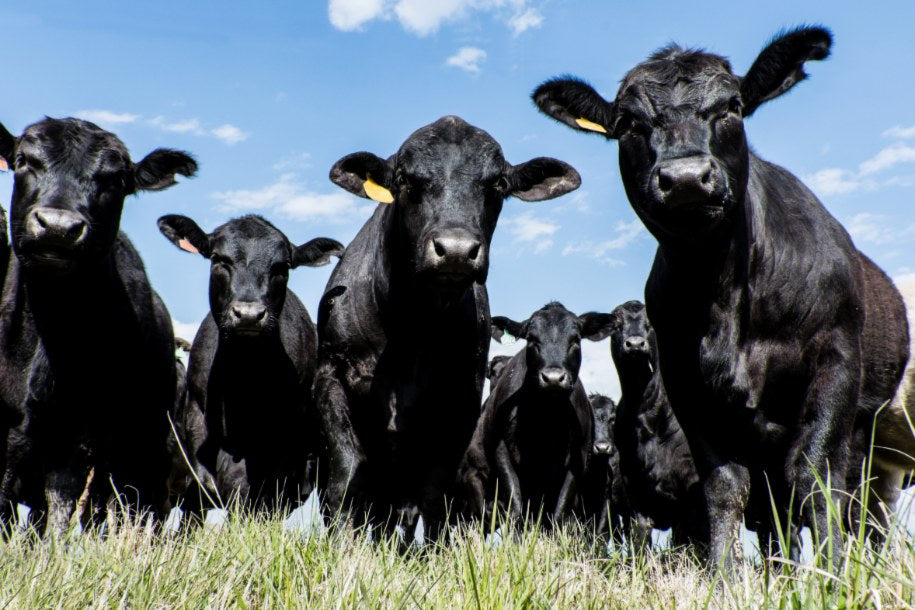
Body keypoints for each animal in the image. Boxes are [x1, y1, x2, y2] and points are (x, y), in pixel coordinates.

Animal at [317, 116, 581, 540]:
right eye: (404, 179)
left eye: (498, 183)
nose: (456, 250)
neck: (412, 327)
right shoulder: (331, 376)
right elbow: (346, 475)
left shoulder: (460, 402)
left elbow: (430, 494)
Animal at [459, 302, 613, 530]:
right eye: (531, 339)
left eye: (575, 339)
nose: (553, 378)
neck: (544, 419)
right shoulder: (501, 452)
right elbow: (515, 506)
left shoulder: (578, 460)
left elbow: (559, 513)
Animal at [608, 301, 708, 553]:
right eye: (617, 321)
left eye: (651, 322)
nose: (635, 344)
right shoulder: (636, 497)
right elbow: (640, 545)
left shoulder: (690, 500)